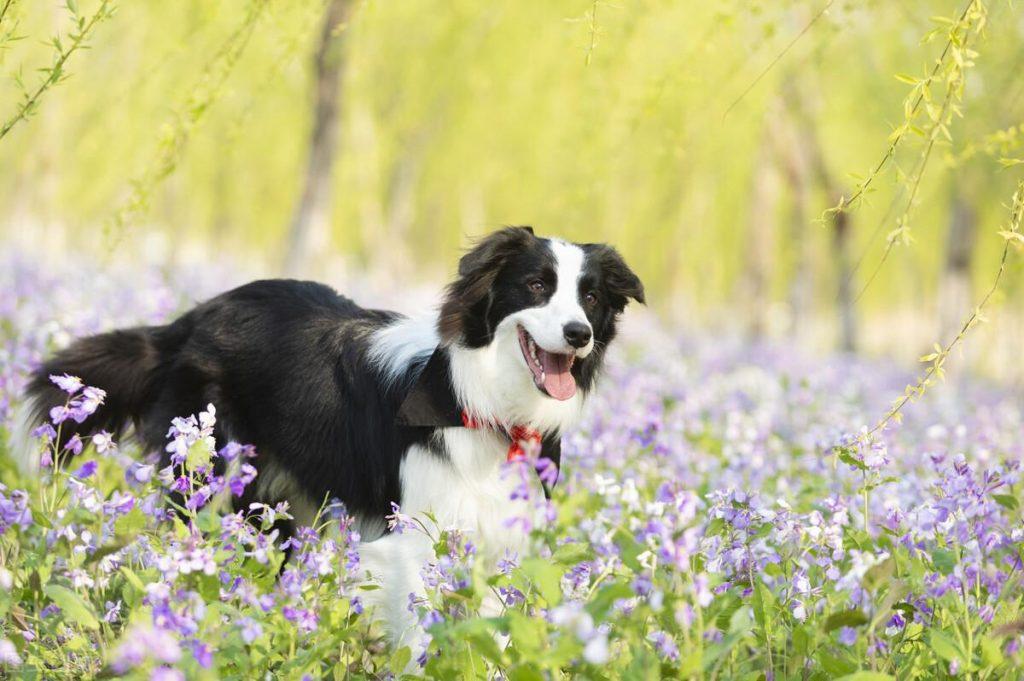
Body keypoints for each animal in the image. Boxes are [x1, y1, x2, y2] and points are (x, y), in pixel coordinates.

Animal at [19, 227, 643, 643]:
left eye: (590, 297)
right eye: (536, 285)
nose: (579, 334)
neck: (485, 405)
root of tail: (192, 318)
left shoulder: (494, 538)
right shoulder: (416, 539)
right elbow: (419, 631)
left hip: (284, 504)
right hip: (218, 477)